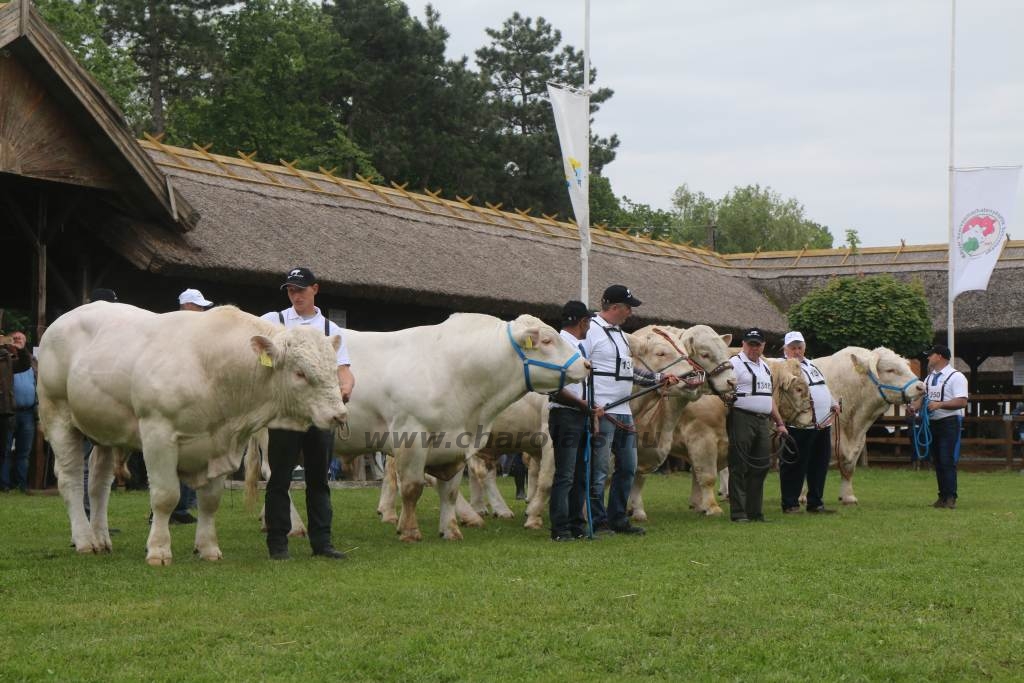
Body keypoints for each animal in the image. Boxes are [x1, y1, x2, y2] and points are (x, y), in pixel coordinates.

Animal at [37, 305, 350, 565]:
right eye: (300, 373)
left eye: (334, 368)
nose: (339, 414)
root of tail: (64, 318)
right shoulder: (157, 432)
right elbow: (166, 496)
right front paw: (159, 550)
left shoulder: (221, 444)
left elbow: (210, 501)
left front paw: (208, 548)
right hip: (58, 415)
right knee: (71, 480)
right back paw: (84, 540)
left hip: (104, 431)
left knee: (98, 484)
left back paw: (101, 538)